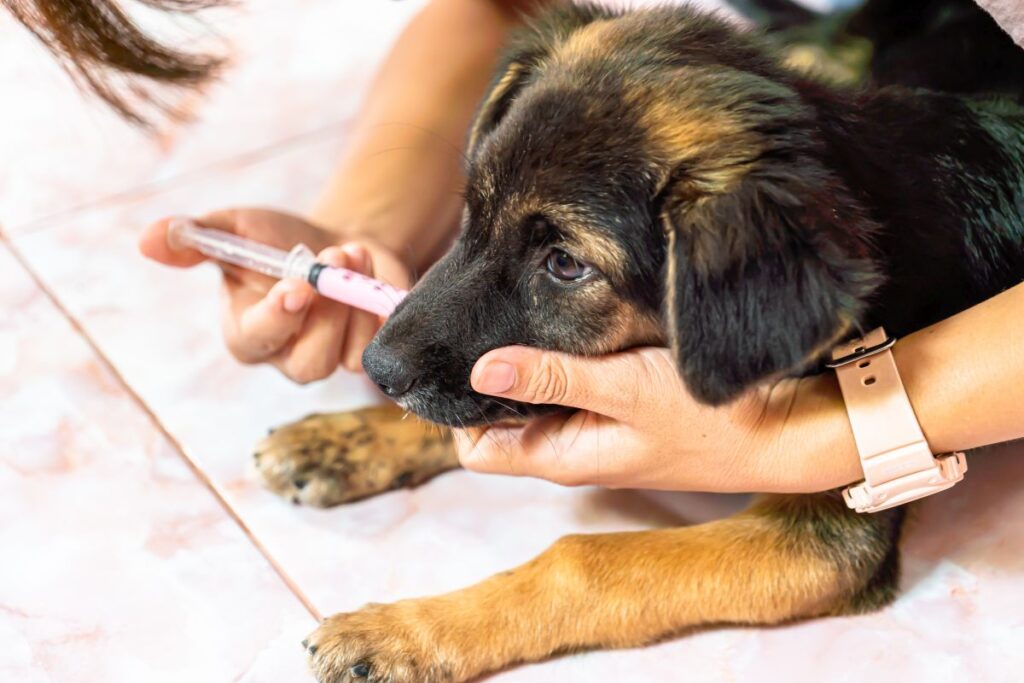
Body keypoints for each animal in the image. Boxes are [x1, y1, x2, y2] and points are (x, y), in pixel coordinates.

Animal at [253, 2, 1024, 679]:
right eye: (472, 210)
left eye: (565, 264)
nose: (376, 368)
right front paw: (347, 439)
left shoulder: (829, 537)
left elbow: (583, 562)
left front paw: (398, 632)